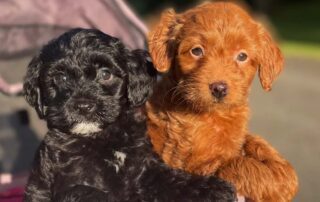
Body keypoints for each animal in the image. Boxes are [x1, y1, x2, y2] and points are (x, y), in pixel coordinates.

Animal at [22, 28, 235, 202]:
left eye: (105, 74)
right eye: (61, 78)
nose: (83, 106)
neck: (100, 136)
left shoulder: (146, 167)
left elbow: (173, 178)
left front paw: (213, 187)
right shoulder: (68, 182)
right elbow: (90, 193)